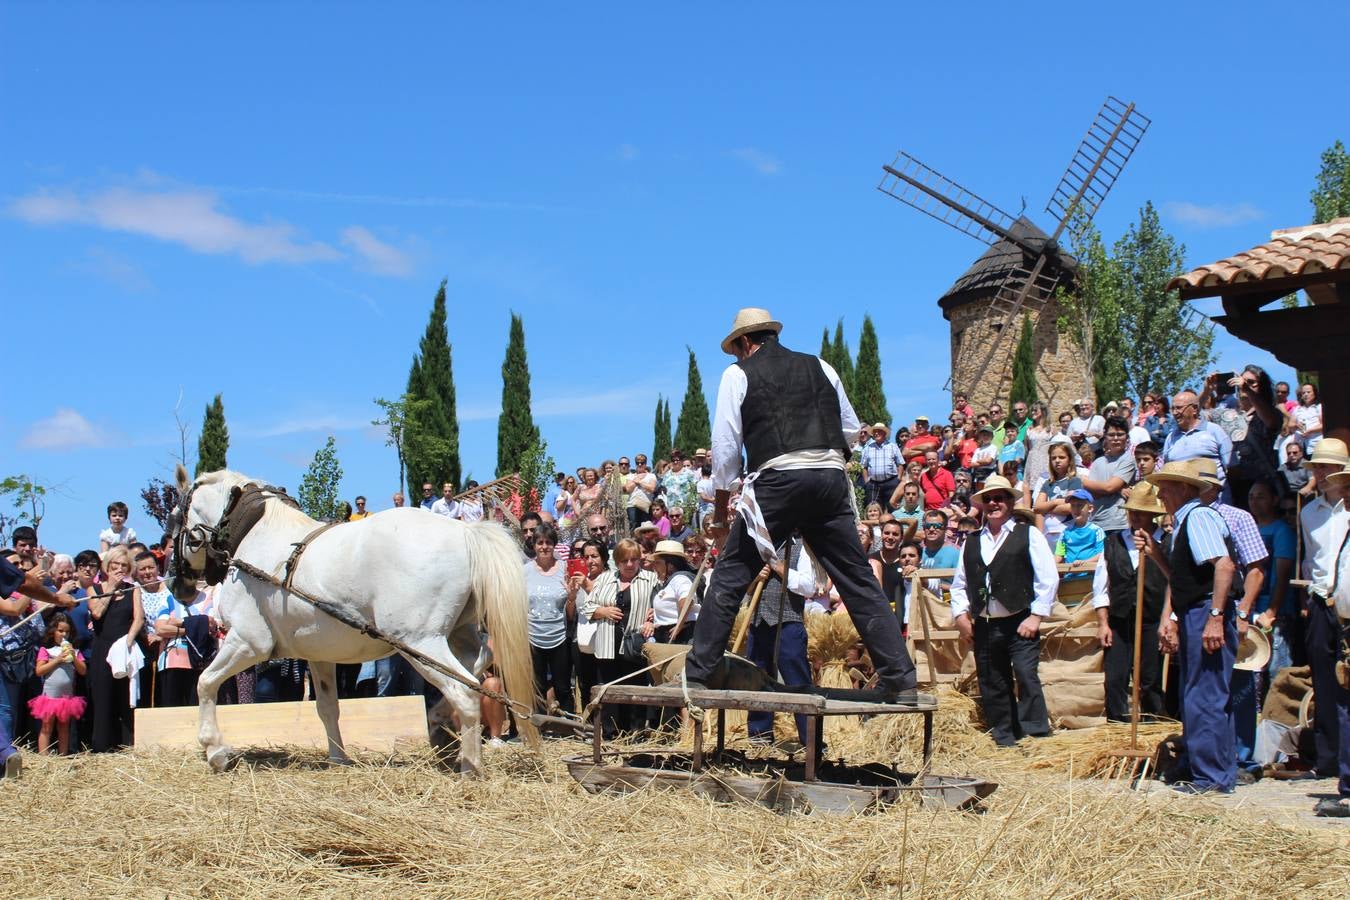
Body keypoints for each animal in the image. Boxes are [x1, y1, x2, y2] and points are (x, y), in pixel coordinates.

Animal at [163, 464, 531, 777]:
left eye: (174, 517)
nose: (176, 585)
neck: (256, 537)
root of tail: (466, 531)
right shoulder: (318, 655)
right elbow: (327, 706)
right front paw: (338, 757)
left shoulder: (249, 641)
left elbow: (205, 682)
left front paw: (214, 750)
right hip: (456, 632)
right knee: (479, 660)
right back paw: (438, 725)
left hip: (418, 641)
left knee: (465, 692)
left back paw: (470, 766)